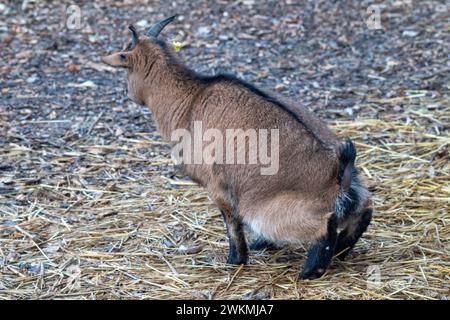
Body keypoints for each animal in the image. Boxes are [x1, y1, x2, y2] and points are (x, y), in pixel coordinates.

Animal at [102, 16, 372, 278]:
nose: (130, 94)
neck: (191, 99)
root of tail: (338, 172)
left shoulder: (218, 186)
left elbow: (232, 224)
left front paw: (235, 260)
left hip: (269, 212)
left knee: (324, 226)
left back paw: (310, 271)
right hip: (354, 196)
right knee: (364, 211)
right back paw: (337, 252)